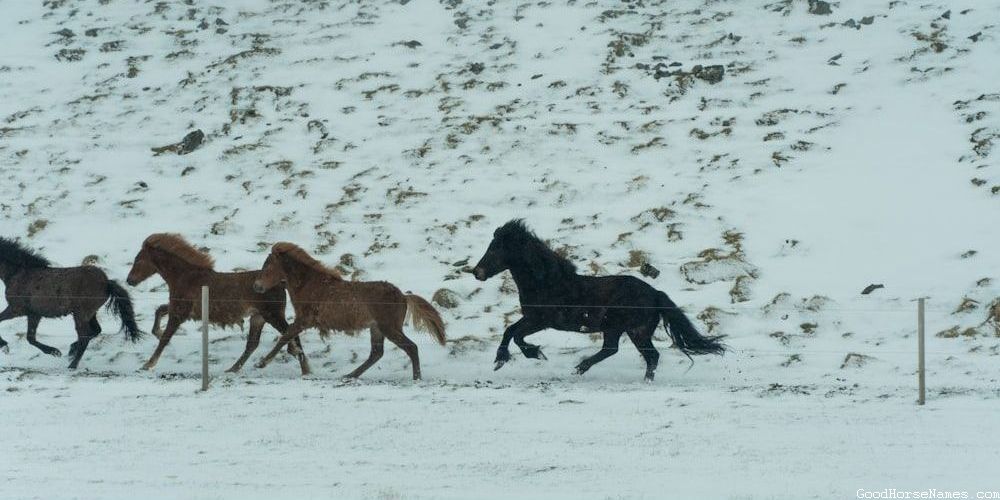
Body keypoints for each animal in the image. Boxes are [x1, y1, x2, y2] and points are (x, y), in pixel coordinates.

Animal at [0, 237, 141, 369]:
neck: (18, 274)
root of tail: (106, 283)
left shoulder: (16, 309)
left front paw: (5, 346)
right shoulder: (34, 314)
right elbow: (31, 338)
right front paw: (54, 351)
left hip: (80, 314)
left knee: (85, 336)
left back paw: (72, 364)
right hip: (90, 313)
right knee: (95, 330)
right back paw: (72, 350)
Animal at [125, 233, 310, 374]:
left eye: (138, 260)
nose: (129, 280)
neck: (186, 277)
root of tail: (281, 283)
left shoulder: (179, 313)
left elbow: (165, 338)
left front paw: (148, 364)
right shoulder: (179, 309)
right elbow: (159, 312)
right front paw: (157, 332)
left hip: (272, 315)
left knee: (290, 333)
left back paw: (304, 368)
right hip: (258, 318)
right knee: (253, 344)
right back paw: (233, 369)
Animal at [252, 242, 446, 380]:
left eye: (268, 266)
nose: (257, 286)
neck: (309, 284)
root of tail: (403, 297)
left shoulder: (305, 320)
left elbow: (285, 335)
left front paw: (261, 363)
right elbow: (289, 336)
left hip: (389, 328)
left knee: (410, 347)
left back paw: (416, 378)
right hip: (377, 329)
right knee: (376, 353)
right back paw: (350, 375)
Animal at [470, 220, 725, 381]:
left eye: (495, 249)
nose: (476, 272)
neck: (546, 282)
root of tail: (655, 294)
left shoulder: (540, 320)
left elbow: (515, 335)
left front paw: (531, 355)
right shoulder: (531, 318)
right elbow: (510, 331)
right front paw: (504, 359)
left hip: (627, 329)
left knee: (633, 353)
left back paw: (584, 368)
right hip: (627, 330)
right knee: (638, 354)